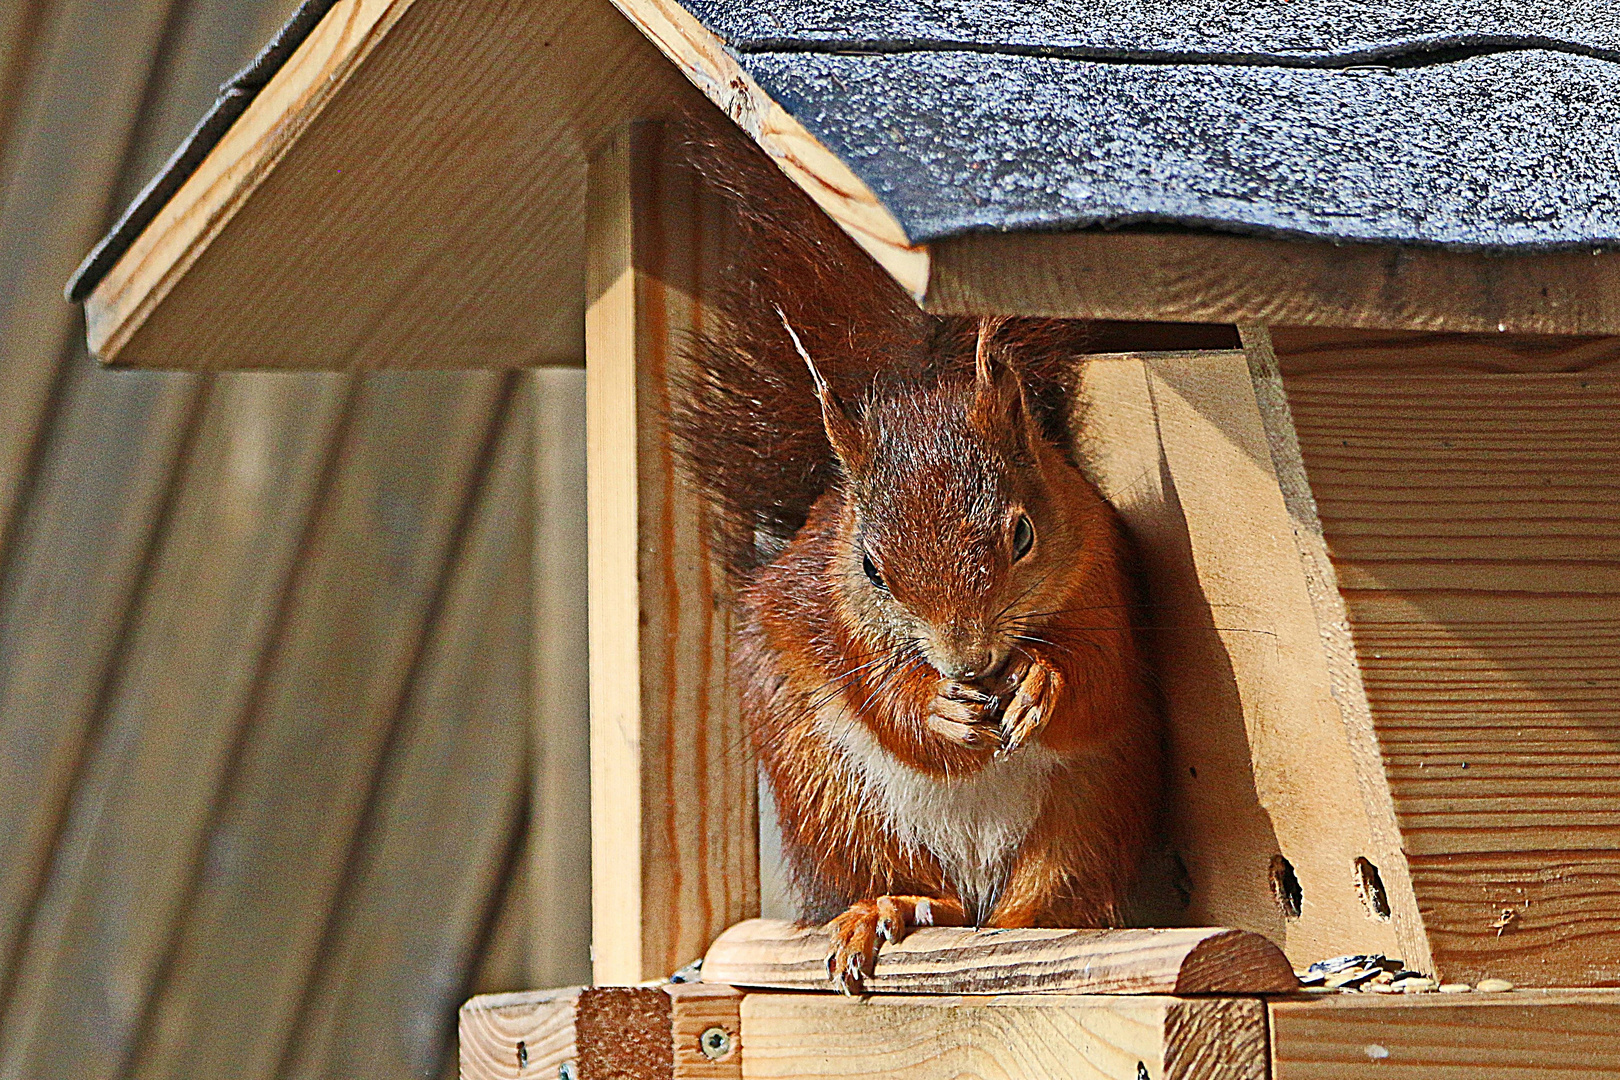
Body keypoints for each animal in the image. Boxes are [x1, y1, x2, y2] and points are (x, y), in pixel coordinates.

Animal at [673, 122, 1166, 990]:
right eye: (871, 568)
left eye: (1022, 535)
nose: (968, 662)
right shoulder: (825, 612)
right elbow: (881, 701)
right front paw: (935, 707)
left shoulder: (1109, 575)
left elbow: (1104, 679)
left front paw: (1041, 682)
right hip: (833, 797)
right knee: (928, 892)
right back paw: (889, 910)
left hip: (1091, 811)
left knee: (1038, 901)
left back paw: (1031, 928)